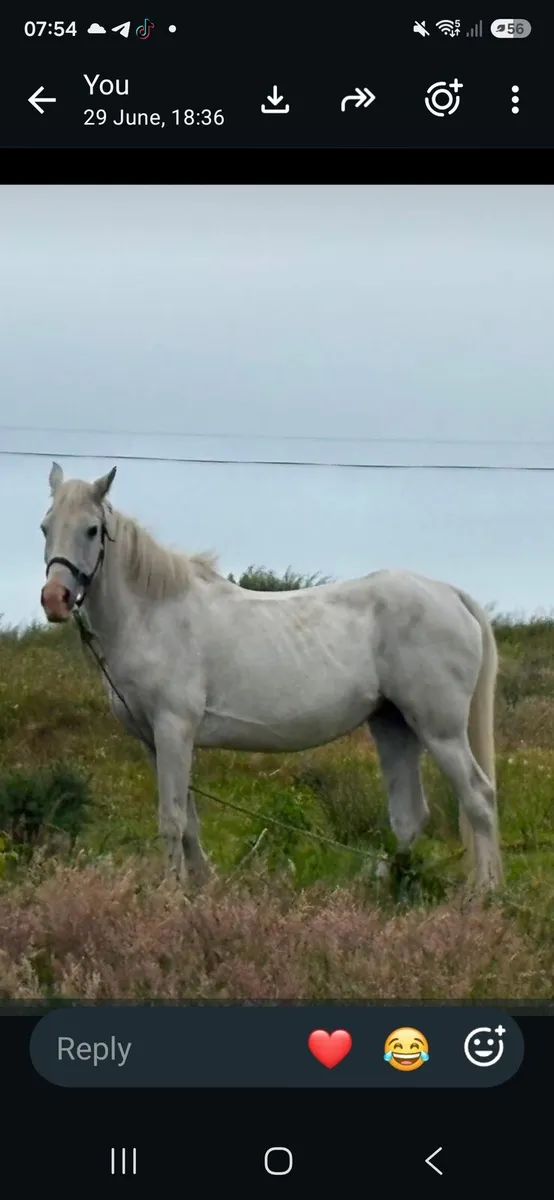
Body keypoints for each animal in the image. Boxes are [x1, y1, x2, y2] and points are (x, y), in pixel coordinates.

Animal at [39, 462, 502, 893]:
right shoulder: (155, 741)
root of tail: (449, 593)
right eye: (45, 526)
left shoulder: (174, 729)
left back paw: (485, 894)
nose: (54, 599)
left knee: (478, 799)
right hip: (393, 724)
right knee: (409, 815)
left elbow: (171, 819)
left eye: (92, 530)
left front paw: (170, 895)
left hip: (439, 730)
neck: (153, 615)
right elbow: (188, 820)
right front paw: (201, 887)